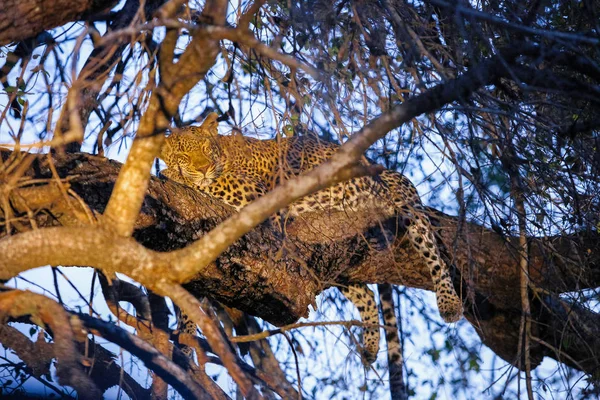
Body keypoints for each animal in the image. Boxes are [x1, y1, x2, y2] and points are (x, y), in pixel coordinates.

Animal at [159, 112, 464, 366]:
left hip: (408, 206)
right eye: (184, 154)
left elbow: (209, 183)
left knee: (435, 256)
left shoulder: (252, 194)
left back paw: (450, 304)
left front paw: (169, 173)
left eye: (205, 150)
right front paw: (184, 342)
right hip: (338, 265)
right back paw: (370, 347)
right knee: (366, 294)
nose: (203, 168)